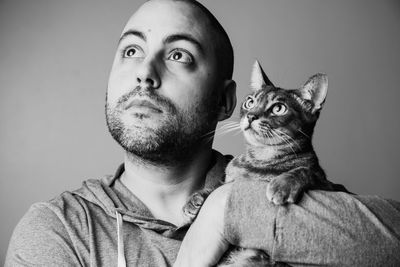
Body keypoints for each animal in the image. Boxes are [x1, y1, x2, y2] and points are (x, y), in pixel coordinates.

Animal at [183, 61, 346, 267]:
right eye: (250, 102)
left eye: (278, 108)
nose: (251, 116)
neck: (260, 159)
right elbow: (219, 185)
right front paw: (196, 199)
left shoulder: (332, 186)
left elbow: (305, 171)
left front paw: (282, 185)